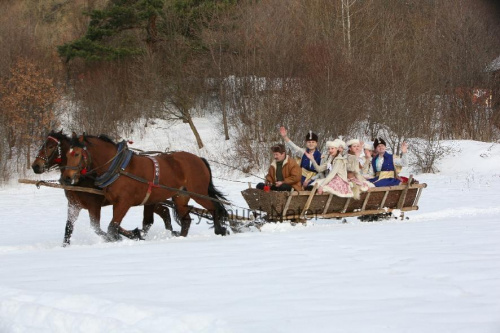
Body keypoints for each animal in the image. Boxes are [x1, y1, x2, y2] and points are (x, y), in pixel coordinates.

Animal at [32, 131, 174, 245]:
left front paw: (121, 237)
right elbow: (68, 228)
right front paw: (65, 245)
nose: (35, 166)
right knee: (164, 212)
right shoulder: (74, 204)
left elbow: (97, 228)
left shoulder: (94, 205)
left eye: (50, 146)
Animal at [60, 132, 229, 239]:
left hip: (198, 192)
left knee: (214, 208)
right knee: (186, 220)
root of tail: (199, 159)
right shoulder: (113, 203)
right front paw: (133, 234)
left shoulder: (123, 203)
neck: (118, 168)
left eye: (76, 154)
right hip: (181, 196)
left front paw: (126, 236)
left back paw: (220, 230)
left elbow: (111, 227)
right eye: (66, 154)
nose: (66, 179)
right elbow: (114, 226)